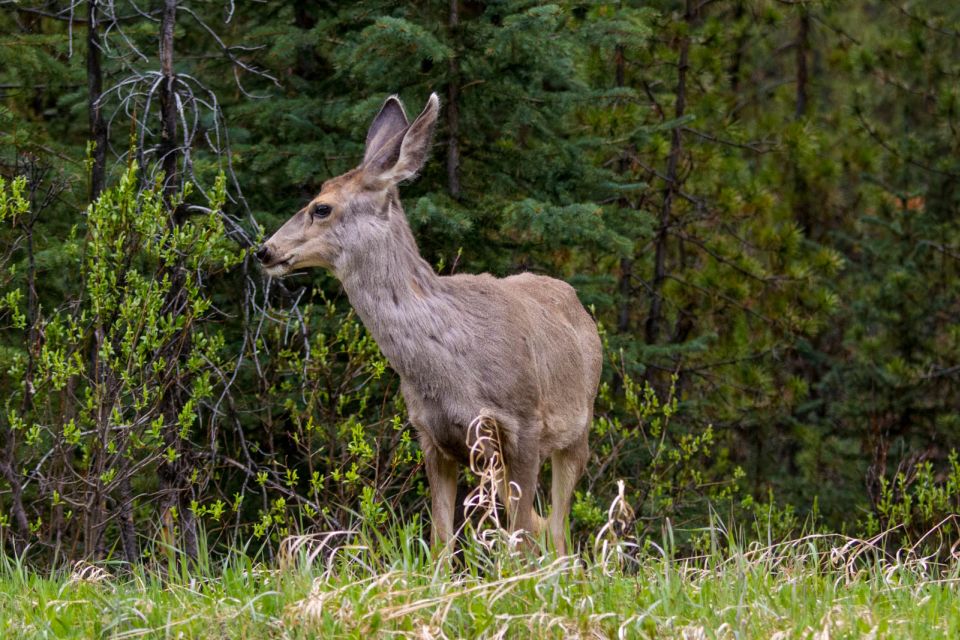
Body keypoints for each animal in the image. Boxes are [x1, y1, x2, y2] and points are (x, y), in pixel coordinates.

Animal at [255, 91, 600, 556]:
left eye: (321, 208)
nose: (265, 250)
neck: (450, 370)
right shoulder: (431, 435)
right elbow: (440, 542)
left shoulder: (525, 424)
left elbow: (521, 538)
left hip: (578, 428)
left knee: (558, 530)